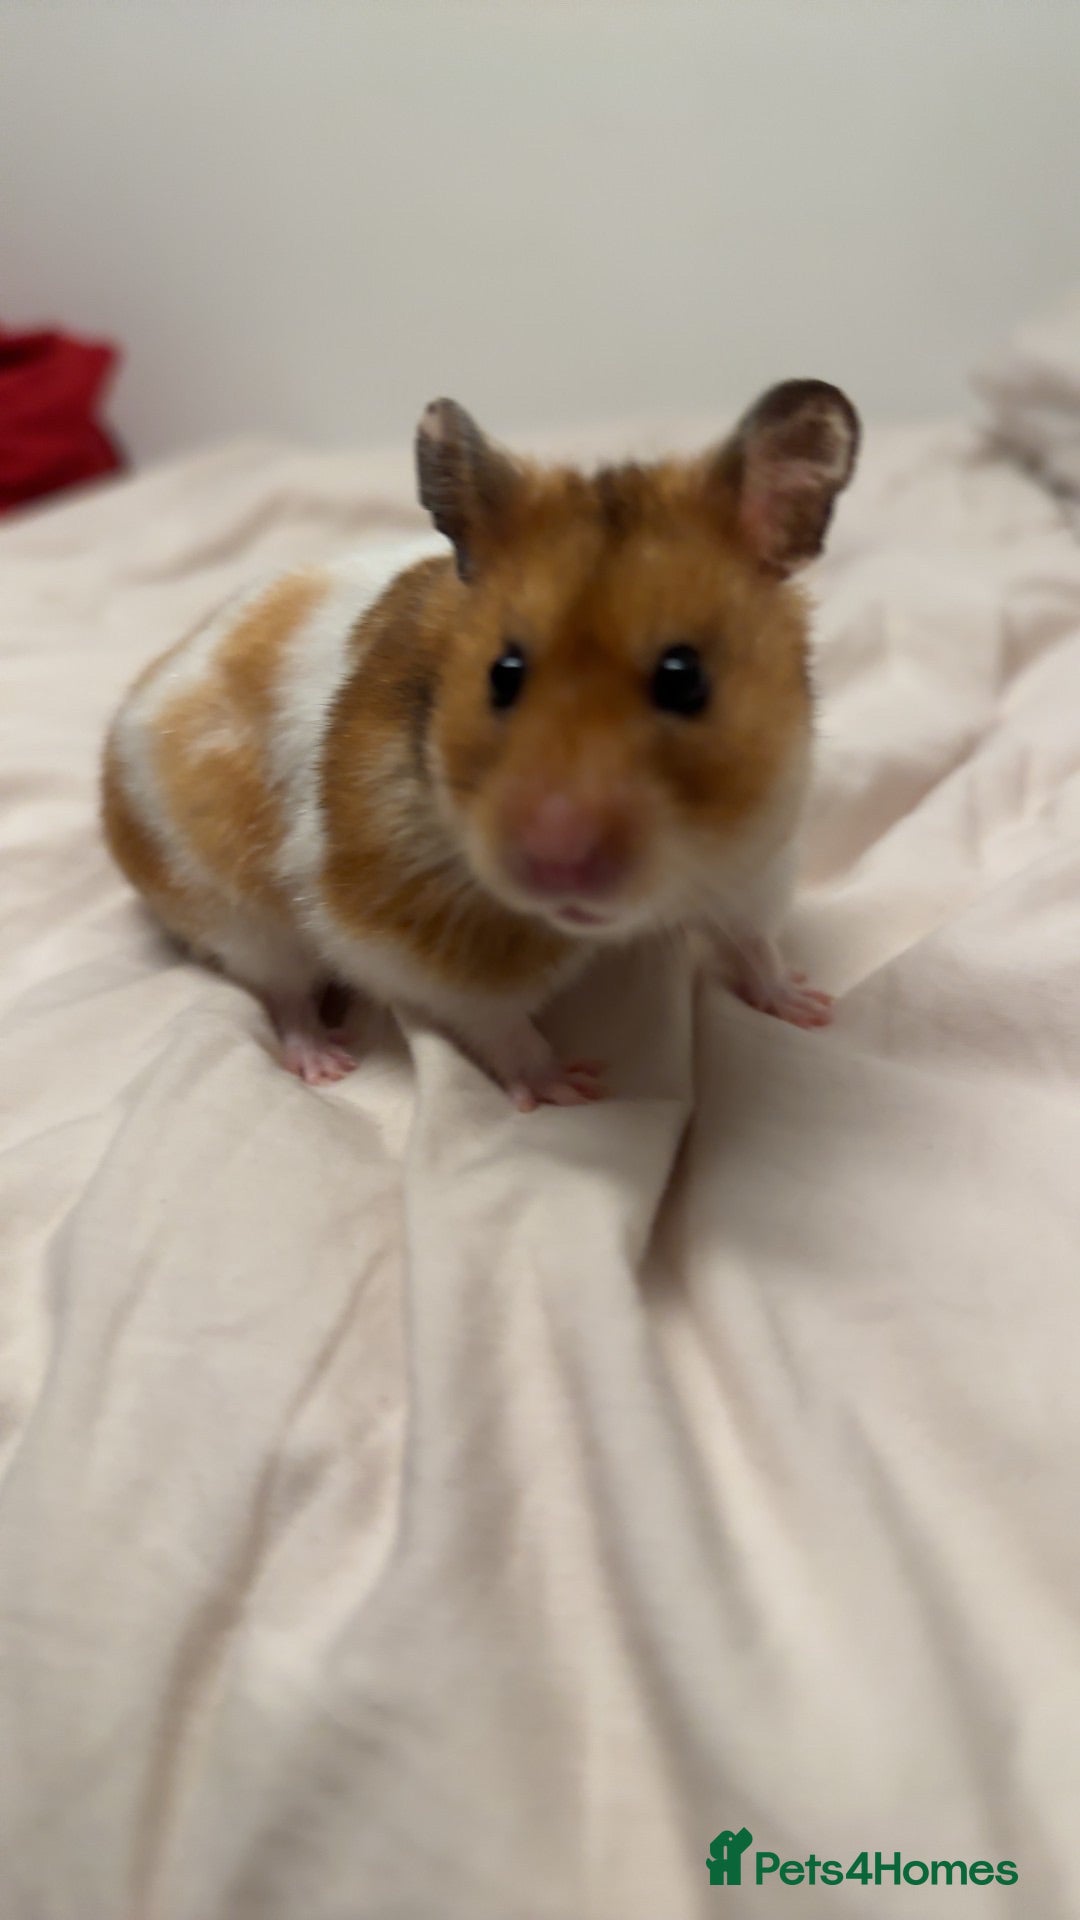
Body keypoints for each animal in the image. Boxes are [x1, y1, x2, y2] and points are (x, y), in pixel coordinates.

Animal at [102, 380, 859, 1109]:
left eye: (685, 677)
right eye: (504, 673)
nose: (556, 859)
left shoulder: (753, 860)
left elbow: (754, 945)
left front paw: (813, 1009)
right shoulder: (403, 932)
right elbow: (496, 1021)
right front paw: (571, 1090)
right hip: (240, 921)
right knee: (284, 993)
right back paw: (327, 1064)